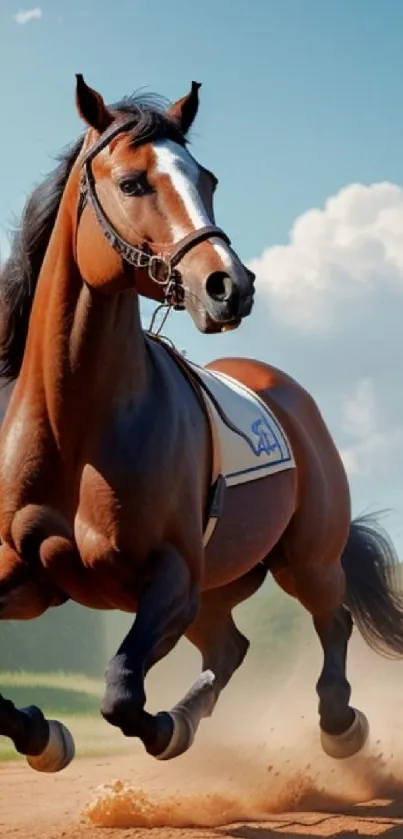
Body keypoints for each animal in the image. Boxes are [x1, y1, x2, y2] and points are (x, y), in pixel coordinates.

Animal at [0, 75, 403, 776]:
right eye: (132, 183)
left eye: (207, 179)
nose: (229, 286)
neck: (76, 430)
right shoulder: (27, 579)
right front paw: (43, 735)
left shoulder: (172, 580)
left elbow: (121, 691)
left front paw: (153, 728)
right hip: (221, 585)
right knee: (229, 646)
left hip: (306, 560)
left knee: (332, 622)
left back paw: (338, 726)